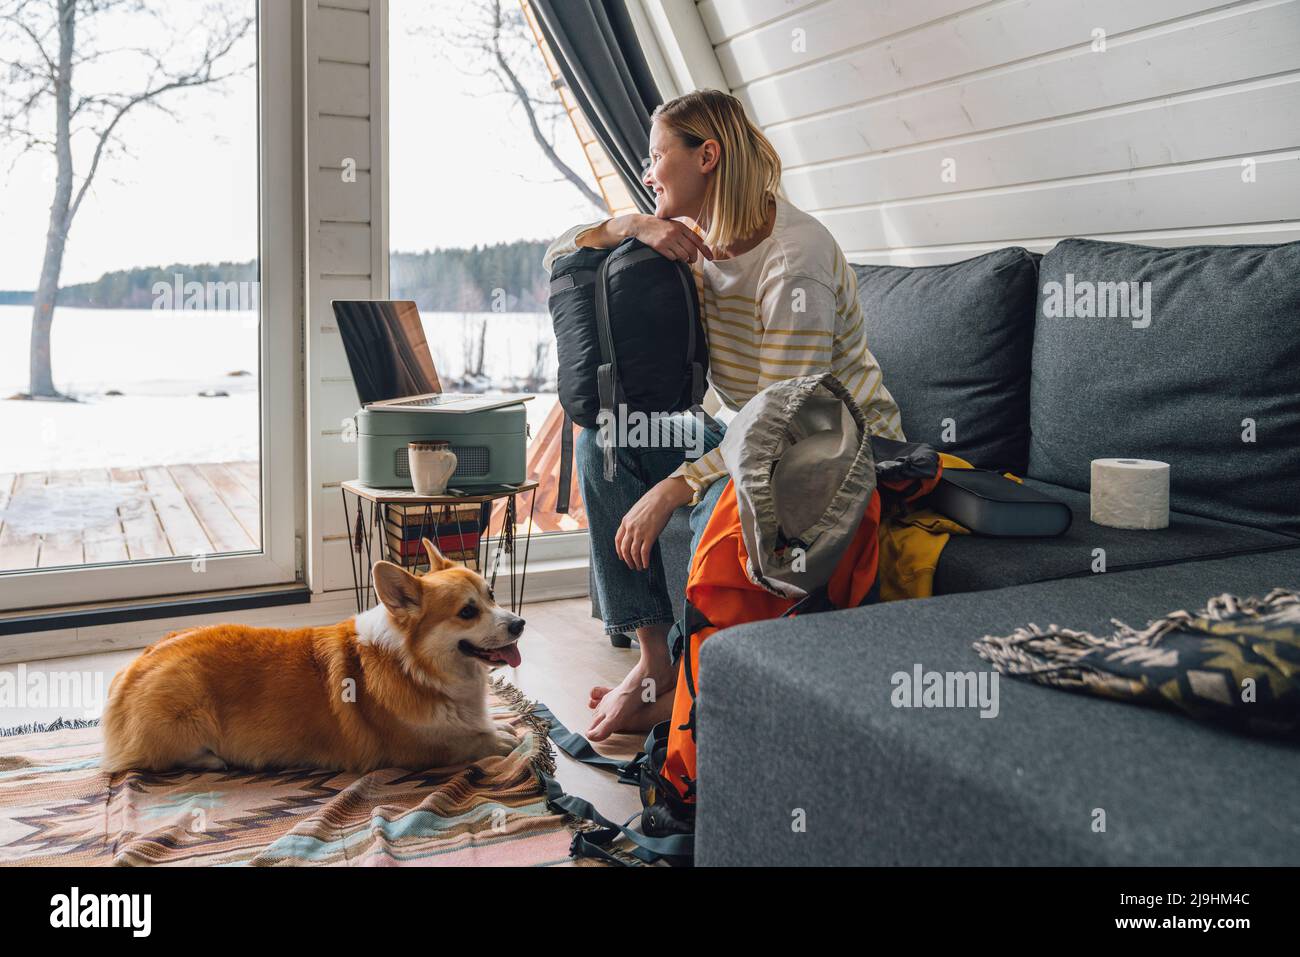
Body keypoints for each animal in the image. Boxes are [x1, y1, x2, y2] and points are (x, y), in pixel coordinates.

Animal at [101, 540, 525, 774]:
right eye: (467, 612)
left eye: (491, 595)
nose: (519, 624)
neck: (417, 667)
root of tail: (130, 671)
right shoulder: (414, 749)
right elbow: (467, 741)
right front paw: (501, 738)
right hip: (187, 721)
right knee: (161, 759)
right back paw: (213, 760)